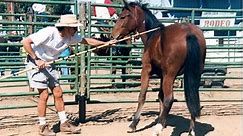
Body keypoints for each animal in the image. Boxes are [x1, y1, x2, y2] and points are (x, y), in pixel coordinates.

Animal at [111, 0, 206, 135]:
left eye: (123, 16)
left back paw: (157, 129)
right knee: (192, 99)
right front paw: (163, 121)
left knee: (169, 99)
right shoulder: (162, 76)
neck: (152, 36)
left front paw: (134, 124)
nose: (113, 35)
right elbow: (160, 96)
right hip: (193, 75)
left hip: (170, 75)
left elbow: (142, 96)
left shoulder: (146, 70)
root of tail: (189, 33)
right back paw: (191, 131)